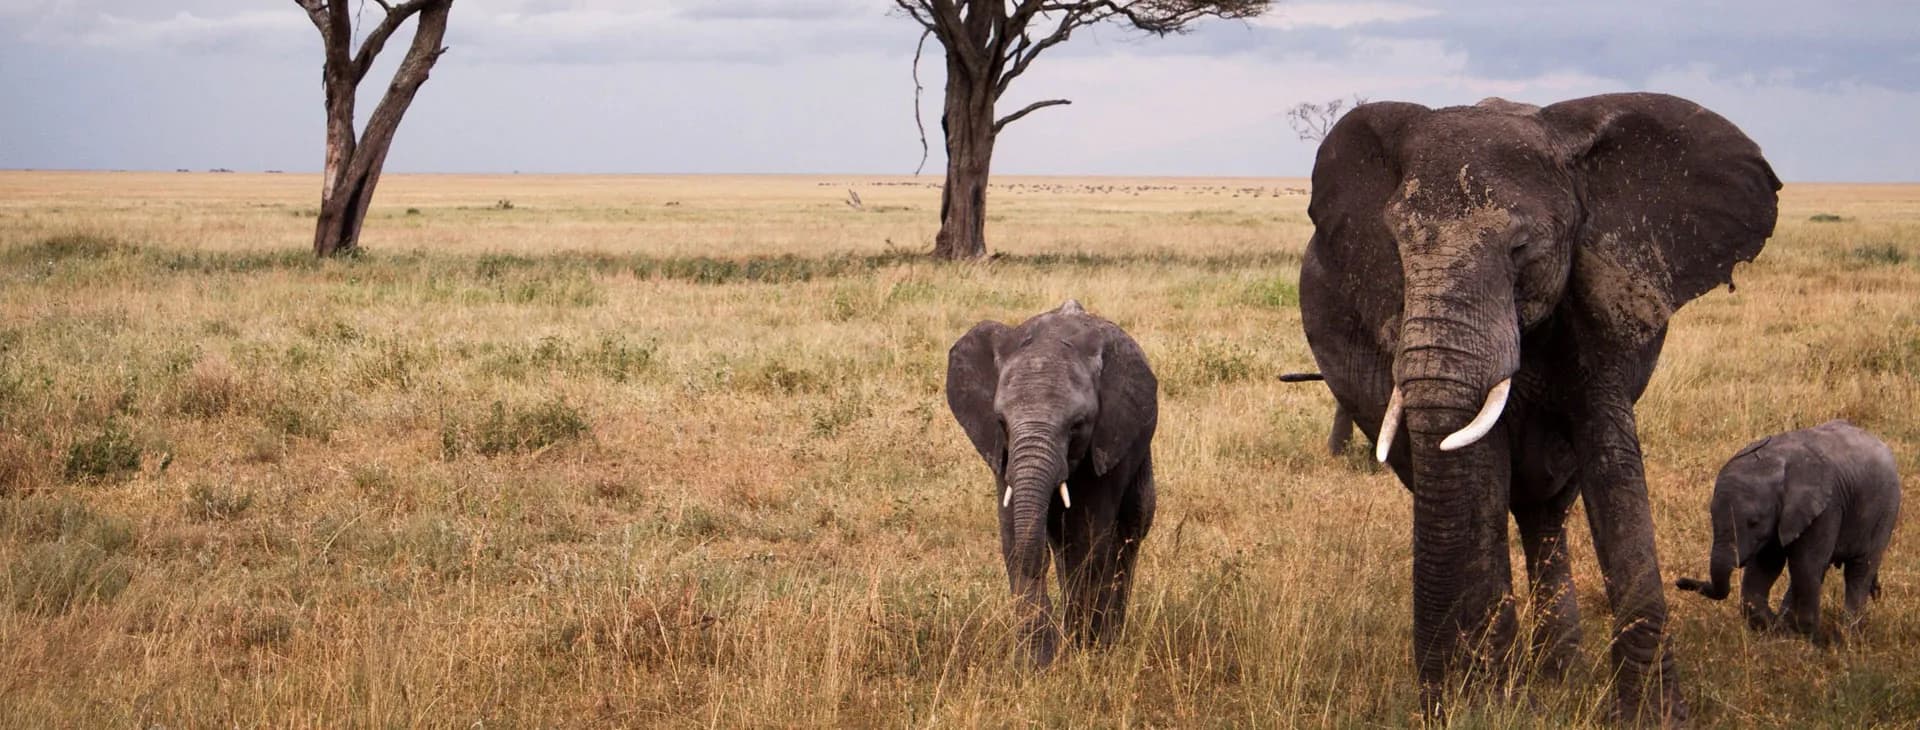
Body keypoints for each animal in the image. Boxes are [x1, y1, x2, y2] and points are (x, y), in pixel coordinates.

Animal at [945, 299, 1158, 667]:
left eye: (1077, 425)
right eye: (1001, 422)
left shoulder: (1106, 439)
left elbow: (1085, 541)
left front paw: (1083, 653)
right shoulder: (1002, 454)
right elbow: (1014, 540)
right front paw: (1034, 665)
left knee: (1129, 533)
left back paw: (1110, 639)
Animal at [1297, 93, 1780, 721]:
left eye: (1520, 249)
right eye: (1397, 249)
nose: (1433, 699)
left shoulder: (1601, 296)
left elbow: (1612, 461)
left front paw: (1653, 716)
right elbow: (1479, 467)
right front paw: (1491, 701)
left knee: (1547, 508)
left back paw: (1558, 674)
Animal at [1675, 420, 1901, 641]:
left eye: (1753, 522)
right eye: (1711, 517)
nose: (1679, 582)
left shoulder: (1826, 509)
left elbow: (1806, 566)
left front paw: (1806, 639)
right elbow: (1767, 567)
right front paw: (1778, 631)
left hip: (1886, 510)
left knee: (1859, 569)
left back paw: (1849, 637)